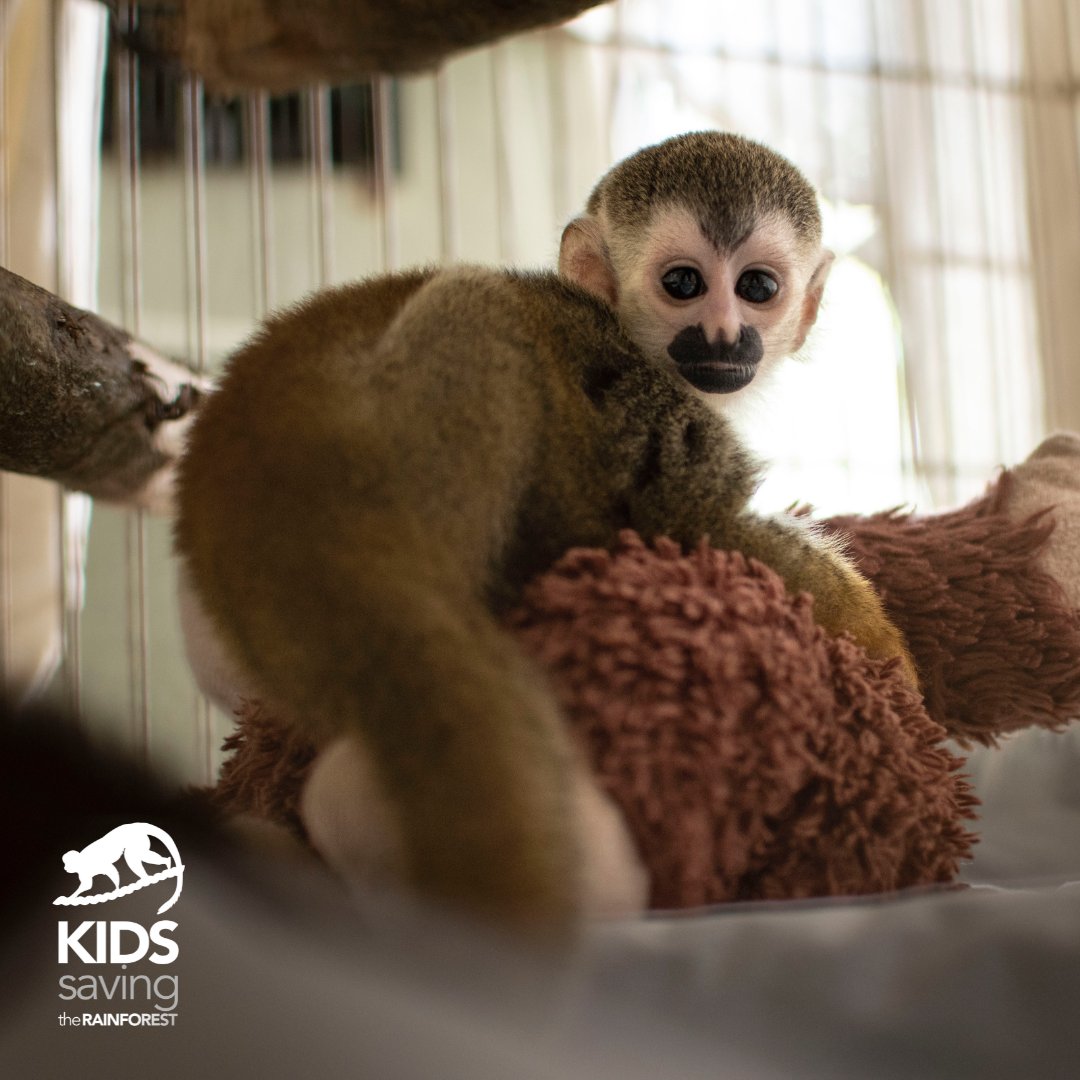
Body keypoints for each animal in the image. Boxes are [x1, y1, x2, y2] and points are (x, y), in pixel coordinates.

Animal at [175, 131, 915, 937]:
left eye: (756, 287)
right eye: (683, 283)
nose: (723, 334)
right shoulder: (643, 396)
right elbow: (696, 523)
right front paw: (892, 664)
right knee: (477, 305)